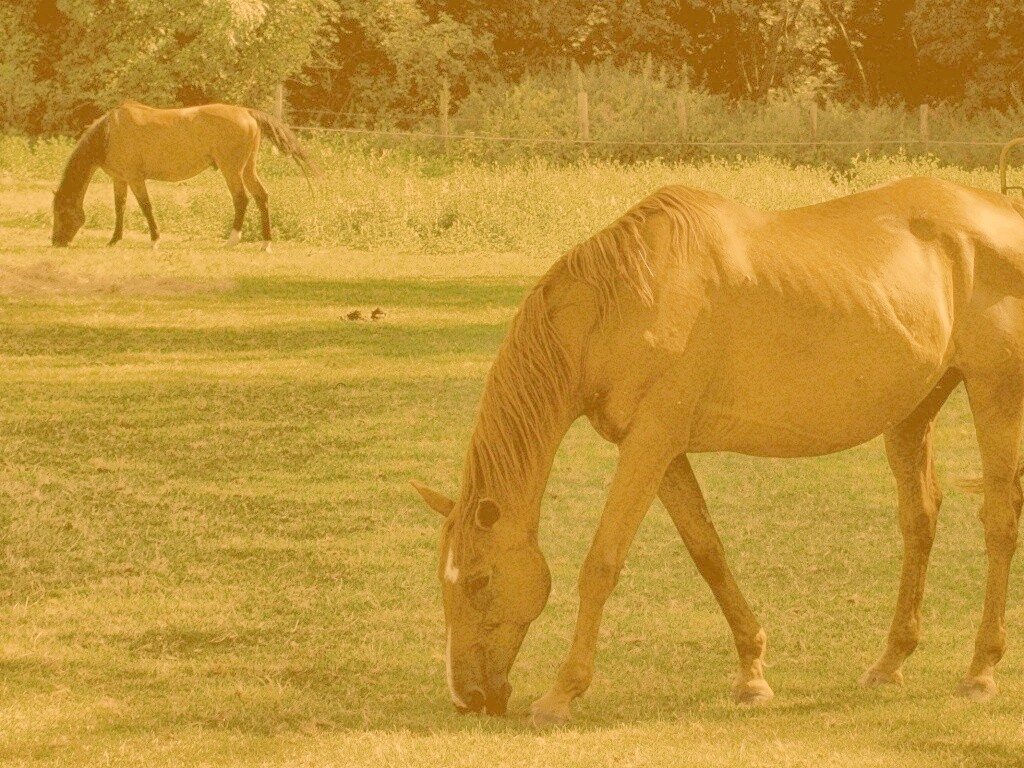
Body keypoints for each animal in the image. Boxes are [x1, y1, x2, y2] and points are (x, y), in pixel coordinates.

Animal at [51, 101, 313, 250]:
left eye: (61, 212)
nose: (56, 242)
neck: (109, 133)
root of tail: (247, 113)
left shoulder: (135, 178)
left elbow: (146, 206)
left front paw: (155, 240)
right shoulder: (120, 179)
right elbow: (120, 207)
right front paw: (114, 240)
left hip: (232, 170)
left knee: (241, 199)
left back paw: (231, 241)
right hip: (248, 169)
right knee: (261, 197)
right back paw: (266, 244)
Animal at [412, 176, 1024, 724]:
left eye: (479, 580)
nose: (468, 698)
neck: (624, 297)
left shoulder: (650, 443)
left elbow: (602, 563)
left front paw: (562, 694)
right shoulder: (660, 451)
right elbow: (708, 552)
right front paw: (752, 675)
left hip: (994, 392)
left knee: (998, 520)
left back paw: (980, 672)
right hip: (913, 411)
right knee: (920, 520)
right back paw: (890, 662)